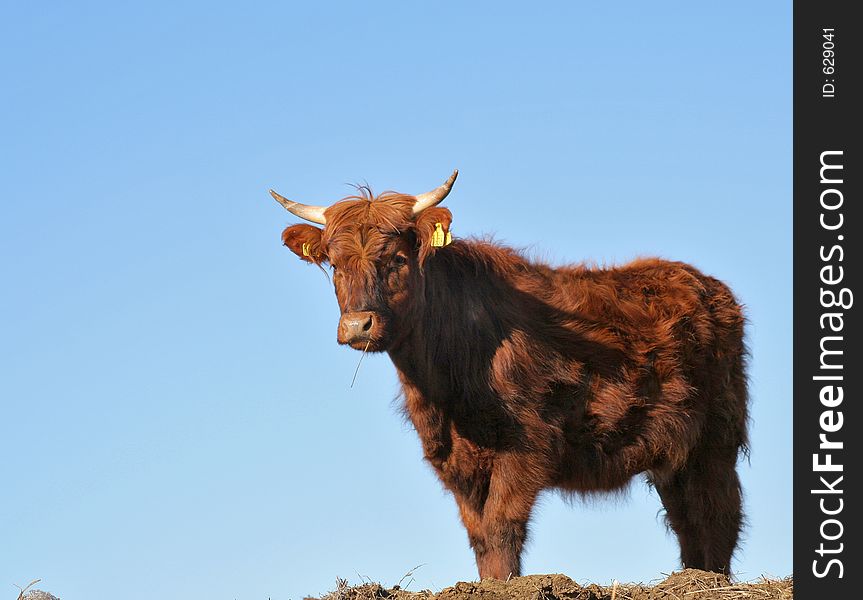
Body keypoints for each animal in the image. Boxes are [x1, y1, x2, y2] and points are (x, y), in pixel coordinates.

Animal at [272, 170, 748, 580]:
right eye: (335, 264)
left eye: (398, 258)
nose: (358, 326)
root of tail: (707, 285)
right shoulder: (453, 458)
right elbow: (479, 534)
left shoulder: (526, 444)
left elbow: (502, 526)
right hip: (675, 451)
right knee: (688, 515)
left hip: (715, 438)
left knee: (717, 512)